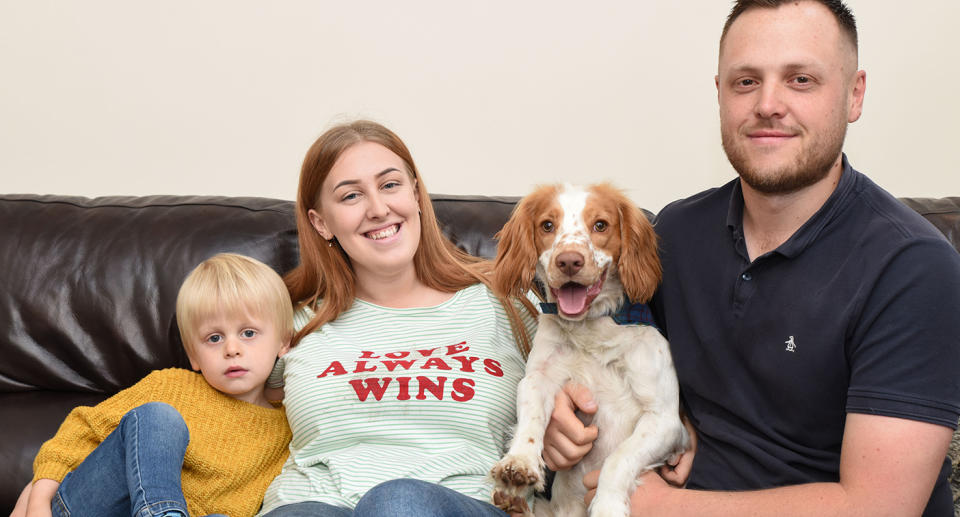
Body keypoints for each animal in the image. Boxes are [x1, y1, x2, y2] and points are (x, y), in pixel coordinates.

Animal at [492, 183, 688, 512]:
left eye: (600, 225)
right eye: (548, 225)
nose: (569, 261)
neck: (590, 330)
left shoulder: (664, 419)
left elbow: (619, 458)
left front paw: (608, 505)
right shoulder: (537, 379)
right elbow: (530, 419)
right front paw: (519, 462)